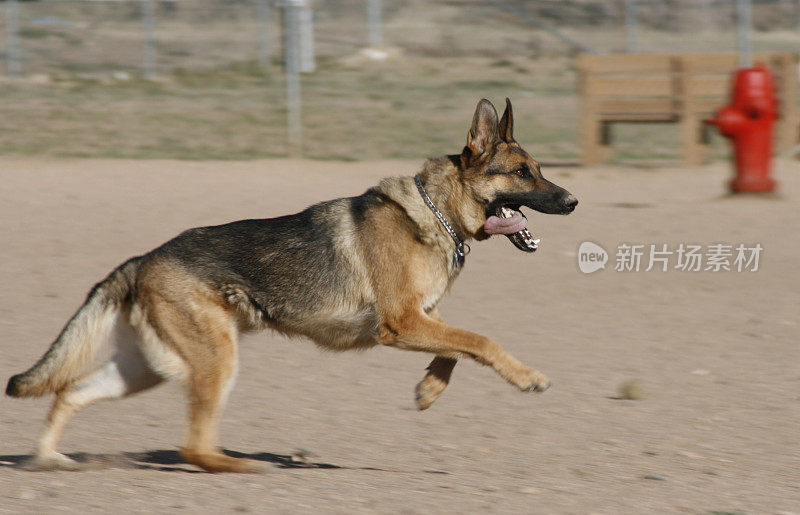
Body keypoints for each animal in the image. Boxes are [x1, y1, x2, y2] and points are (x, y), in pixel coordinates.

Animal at [9, 99, 580, 474]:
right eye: (522, 173)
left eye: (539, 169)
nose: (573, 201)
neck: (436, 212)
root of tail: (143, 258)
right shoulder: (402, 323)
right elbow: (481, 340)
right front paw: (527, 377)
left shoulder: (421, 317)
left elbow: (457, 350)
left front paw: (428, 390)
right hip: (213, 362)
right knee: (194, 447)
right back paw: (243, 467)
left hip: (146, 368)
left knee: (69, 392)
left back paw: (49, 458)